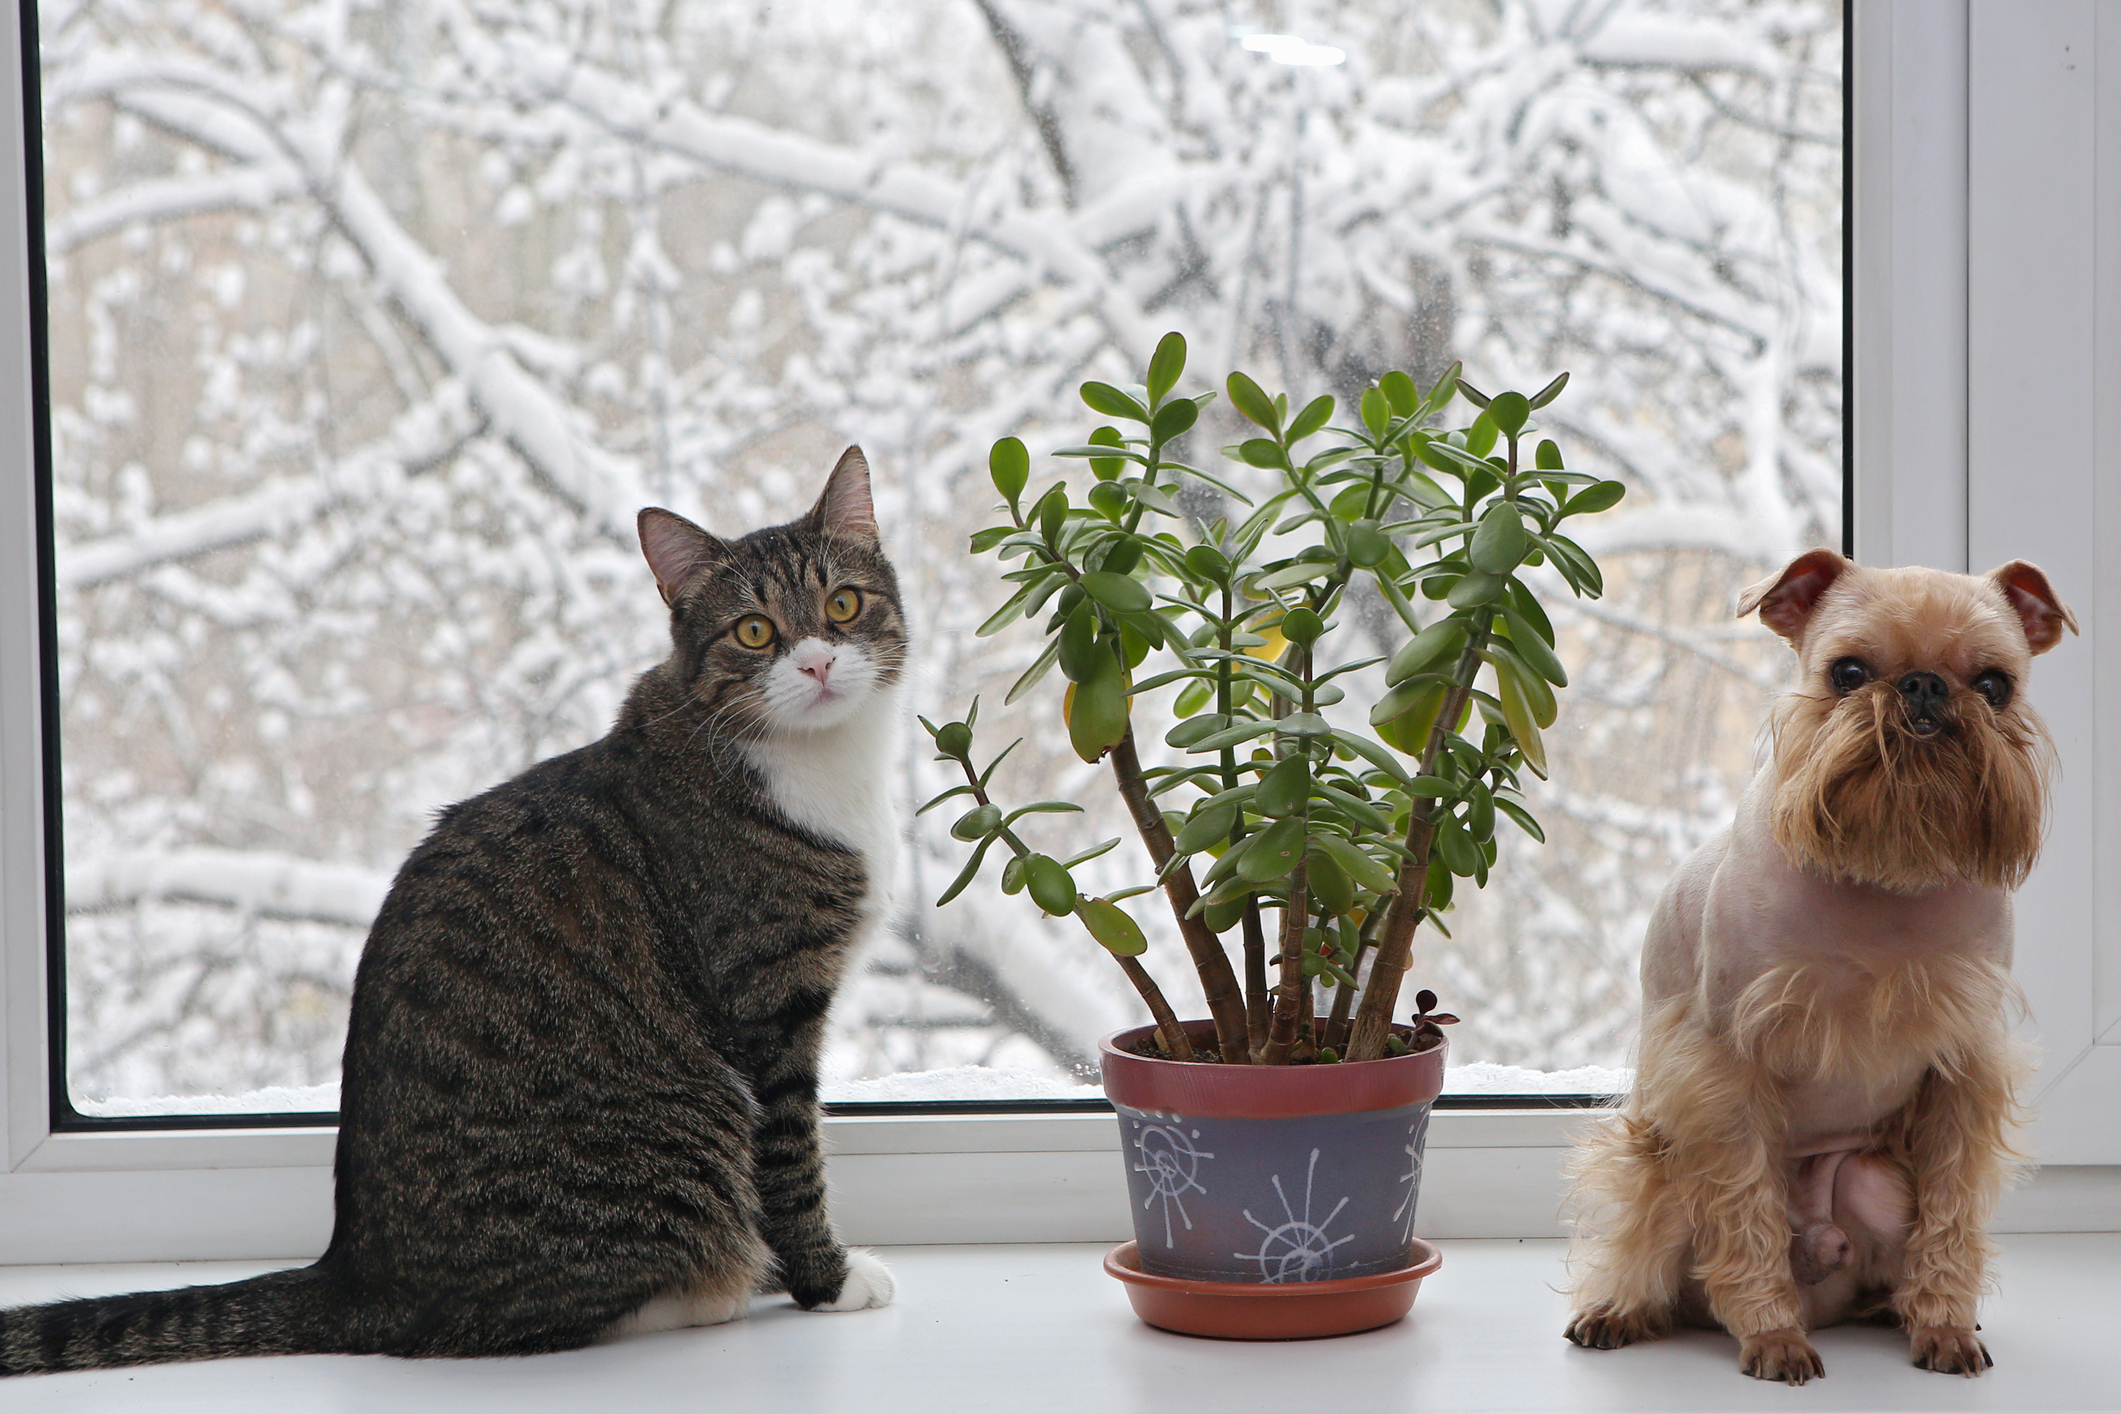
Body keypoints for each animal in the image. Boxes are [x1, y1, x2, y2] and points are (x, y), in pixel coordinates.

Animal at [0, 445, 899, 1373]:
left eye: (842, 604)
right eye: (754, 630)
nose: (818, 664)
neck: (818, 768)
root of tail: (359, 1277)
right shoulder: (767, 1002)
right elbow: (792, 1160)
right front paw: (828, 1281)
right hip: (678, 1133)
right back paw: (718, 1284)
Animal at [1569, 551, 2078, 1382]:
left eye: (1993, 684)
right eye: (1848, 673)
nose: (1922, 685)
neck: (1885, 872)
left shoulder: (1962, 1069)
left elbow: (1950, 1214)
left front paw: (1942, 1322)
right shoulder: (1724, 1069)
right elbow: (1744, 1215)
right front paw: (1772, 1337)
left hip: (1873, 1180)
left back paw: (1890, 1308)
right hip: (1667, 1168)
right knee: (1666, 1253)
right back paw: (1621, 1311)